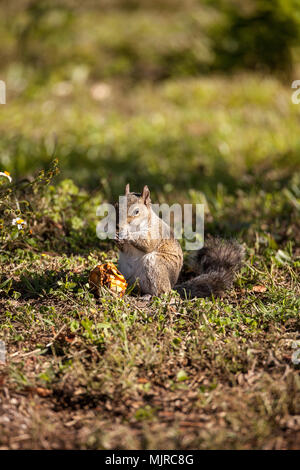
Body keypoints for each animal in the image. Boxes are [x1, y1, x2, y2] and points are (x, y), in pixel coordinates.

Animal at [114, 184, 244, 298]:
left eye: (136, 211)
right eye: (116, 205)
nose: (117, 226)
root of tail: (172, 286)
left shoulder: (156, 231)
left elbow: (148, 244)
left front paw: (127, 235)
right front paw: (115, 237)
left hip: (155, 266)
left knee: (163, 292)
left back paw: (149, 296)